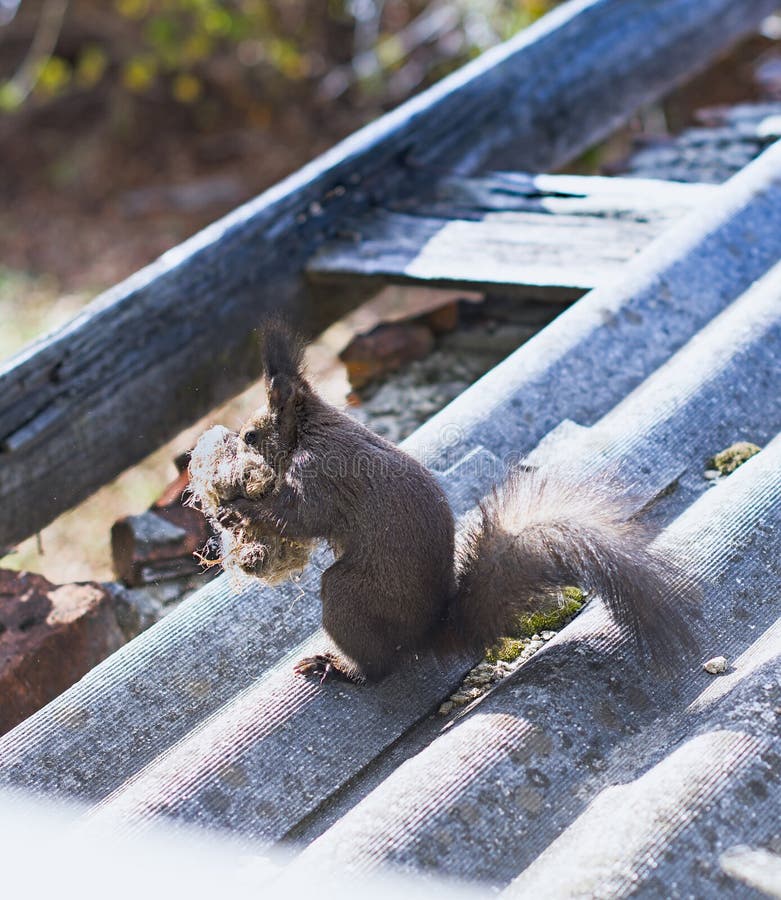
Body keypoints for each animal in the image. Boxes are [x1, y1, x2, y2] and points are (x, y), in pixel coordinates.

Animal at [198, 323, 698, 684]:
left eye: (250, 436)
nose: (237, 448)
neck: (312, 428)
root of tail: (424, 634)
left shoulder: (320, 474)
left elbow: (301, 518)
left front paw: (239, 508)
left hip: (350, 595)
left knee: (378, 669)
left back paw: (339, 668)